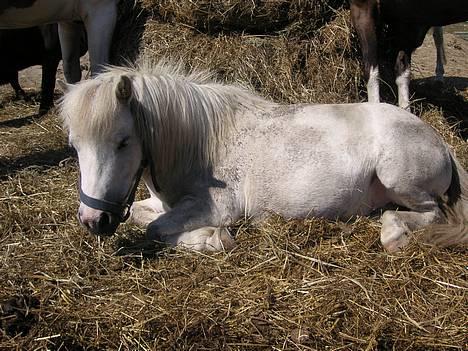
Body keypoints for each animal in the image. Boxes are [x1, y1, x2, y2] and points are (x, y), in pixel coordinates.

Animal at [58, 60, 468, 253]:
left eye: (123, 141)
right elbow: (143, 219)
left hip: (401, 181)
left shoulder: (216, 208)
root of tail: (439, 139)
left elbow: (155, 229)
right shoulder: (162, 204)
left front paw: (213, 240)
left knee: (431, 214)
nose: (94, 221)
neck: (200, 147)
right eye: (75, 146)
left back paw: (394, 232)